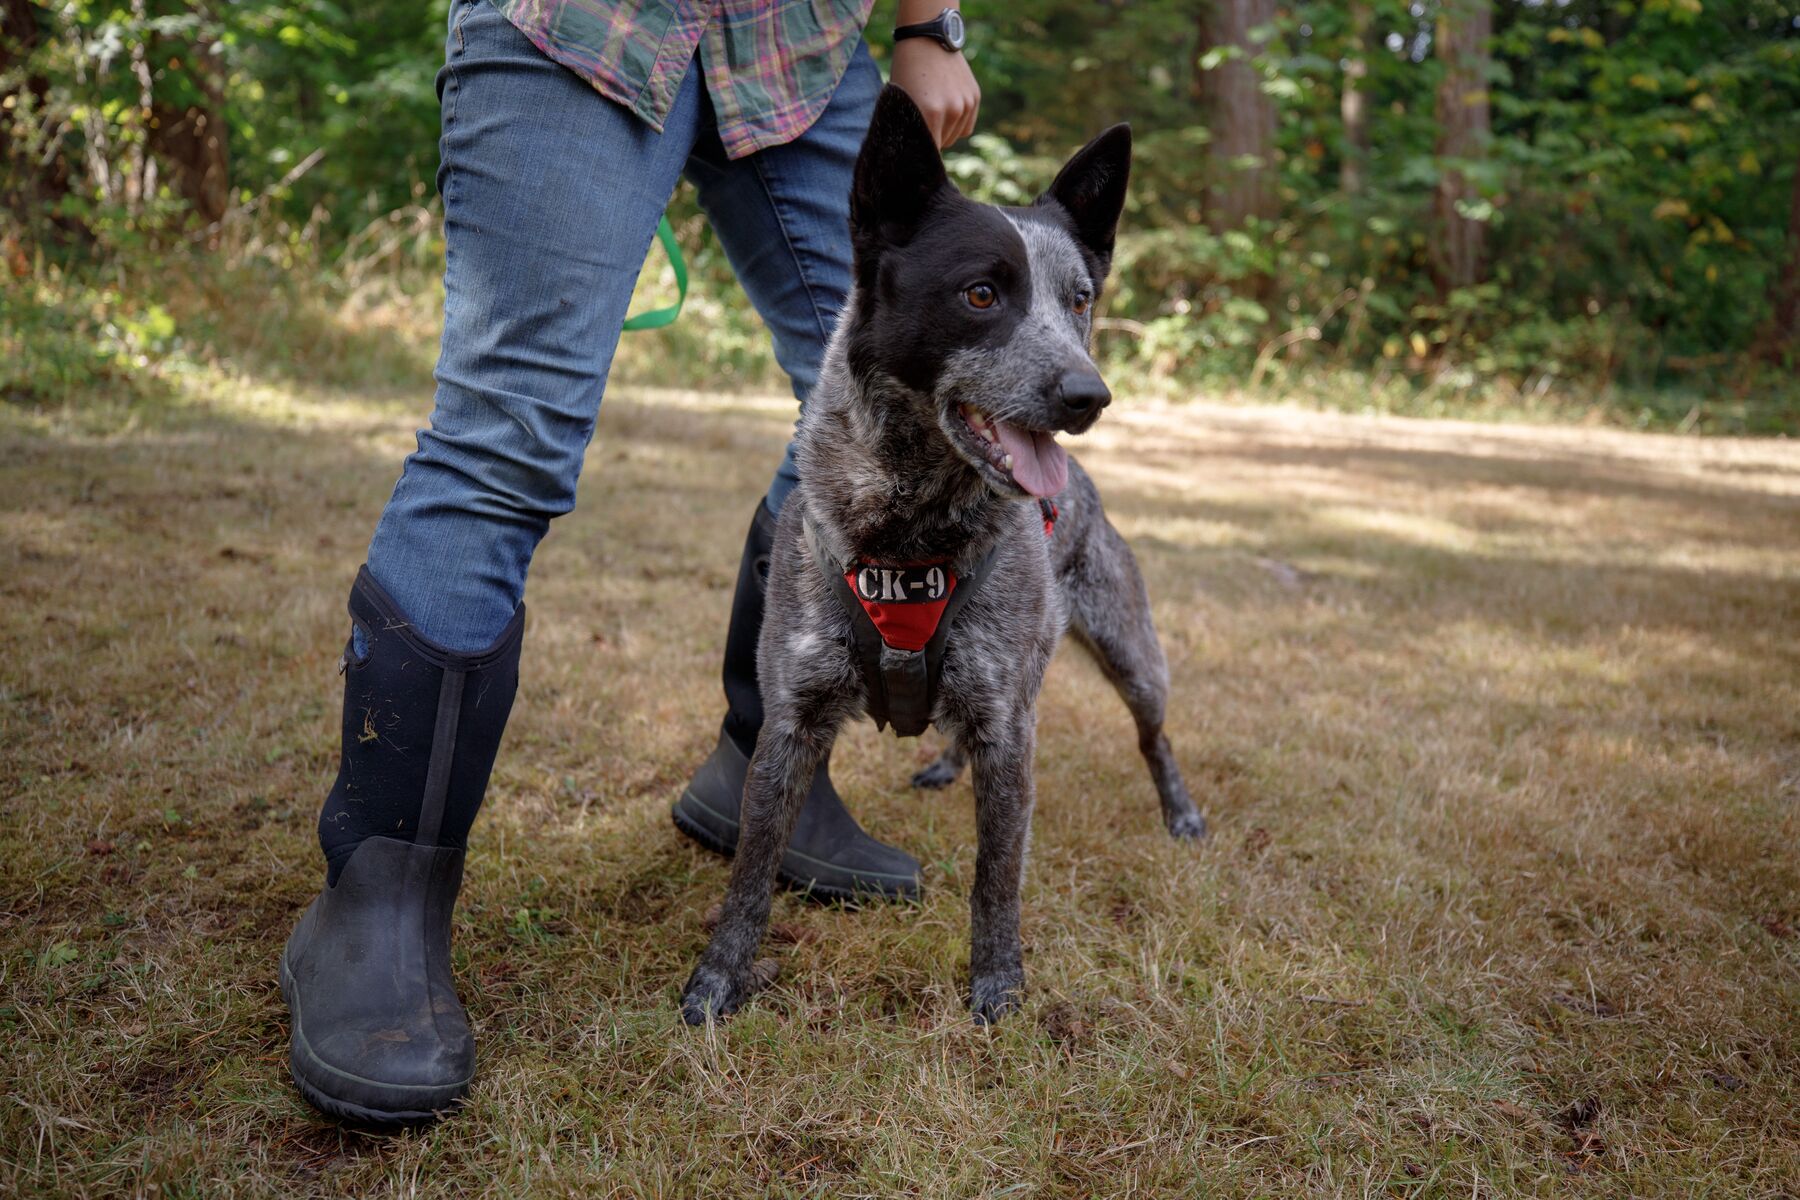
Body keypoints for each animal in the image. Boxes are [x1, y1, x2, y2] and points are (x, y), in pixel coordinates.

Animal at [680, 84, 1202, 1029]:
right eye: (982, 293)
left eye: (1079, 299)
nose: (1090, 395)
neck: (908, 530)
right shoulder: (792, 722)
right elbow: (750, 875)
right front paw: (718, 980)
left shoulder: (1008, 725)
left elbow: (998, 876)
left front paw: (998, 985)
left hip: (1132, 658)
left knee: (1156, 737)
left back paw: (1179, 813)